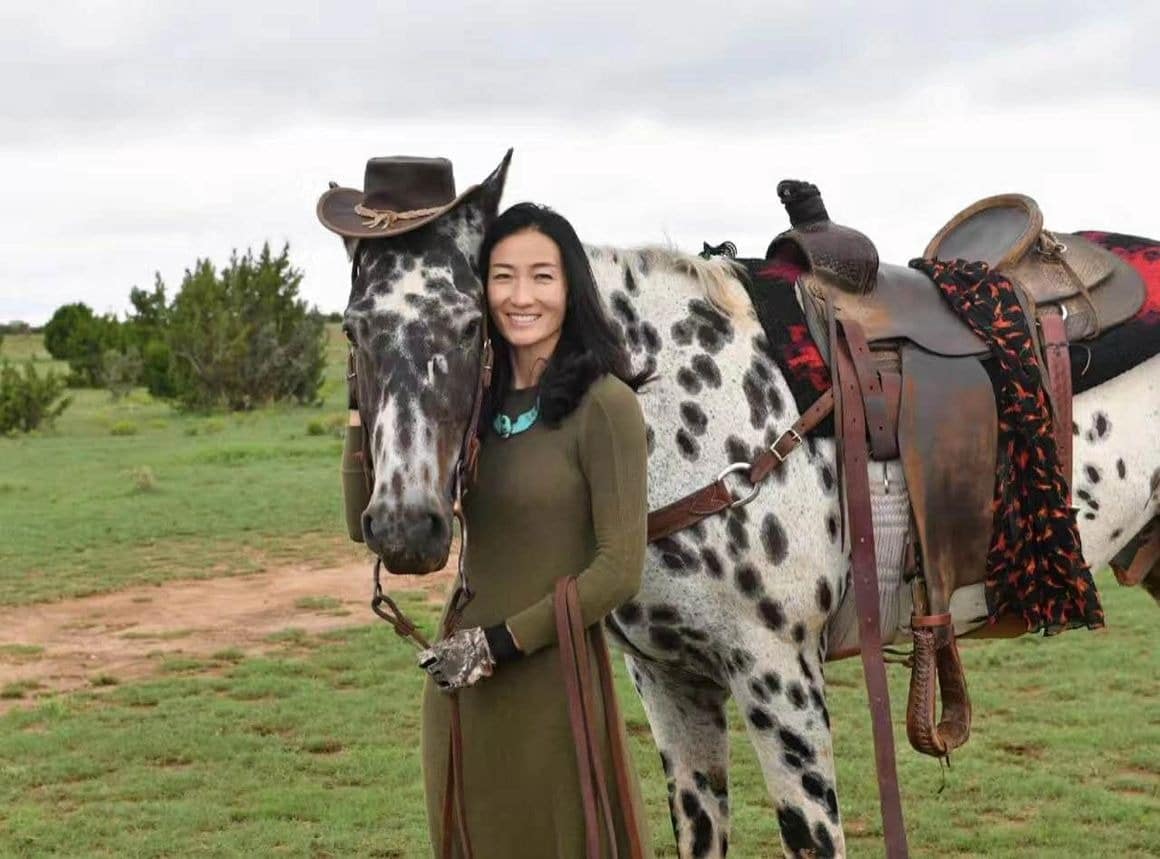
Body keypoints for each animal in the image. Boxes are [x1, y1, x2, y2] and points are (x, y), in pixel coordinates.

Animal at [324, 150, 1160, 853]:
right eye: (355, 328)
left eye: (472, 324)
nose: (404, 525)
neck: (690, 416)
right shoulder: (669, 683)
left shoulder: (779, 679)